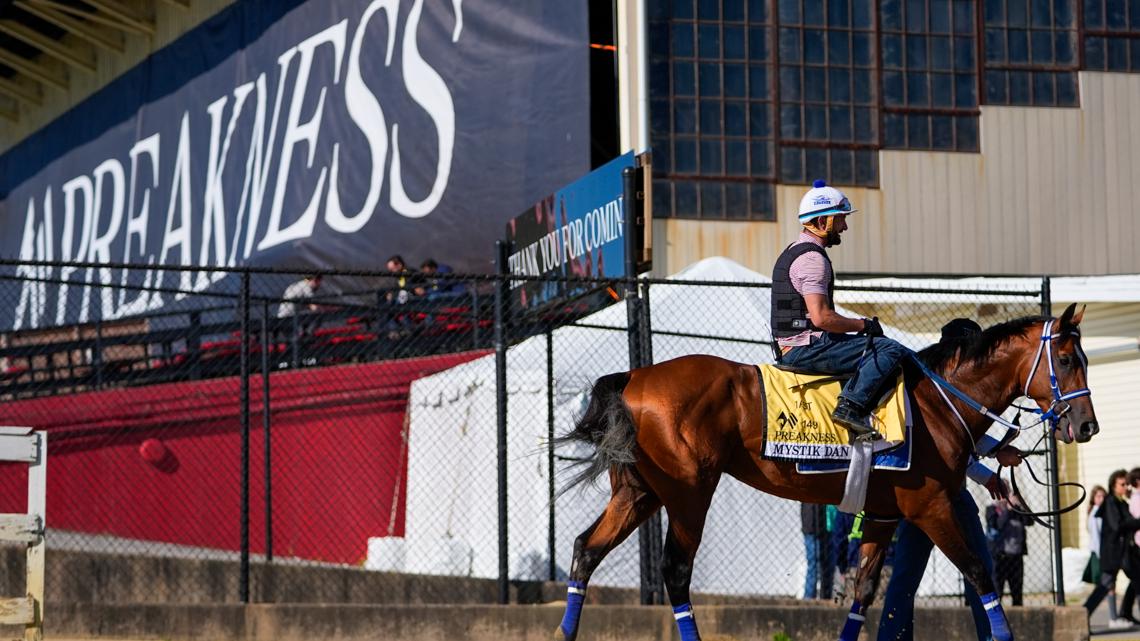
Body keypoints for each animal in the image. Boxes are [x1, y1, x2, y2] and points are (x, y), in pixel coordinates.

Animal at [551, 303, 1094, 638]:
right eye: (1067, 359)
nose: (1087, 425)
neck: (939, 402)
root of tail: (634, 375)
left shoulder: (882, 516)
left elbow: (864, 592)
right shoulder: (932, 507)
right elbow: (980, 573)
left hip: (639, 493)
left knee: (585, 550)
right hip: (688, 496)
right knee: (676, 571)